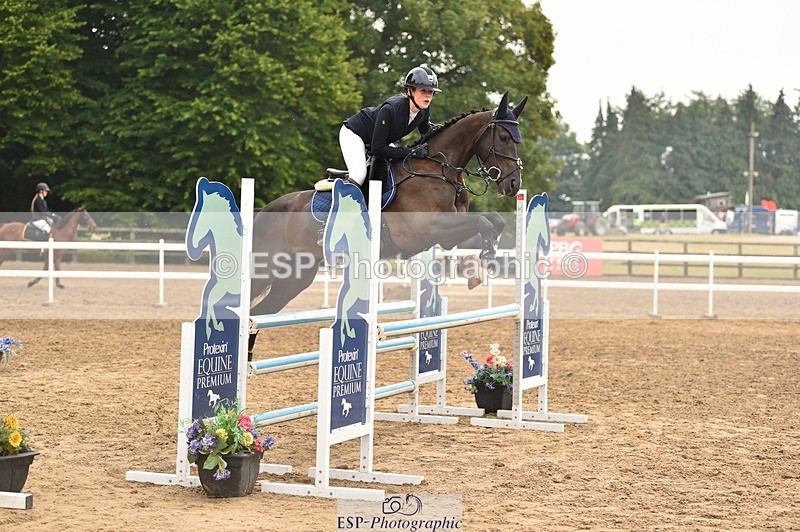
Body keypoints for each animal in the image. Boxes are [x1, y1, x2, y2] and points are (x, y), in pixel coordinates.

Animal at [248, 91, 528, 357]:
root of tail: (263, 212)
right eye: (504, 137)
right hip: (266, 268)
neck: (436, 169)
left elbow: (493, 220)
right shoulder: (428, 229)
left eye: (518, 139)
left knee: (260, 313)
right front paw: (484, 261)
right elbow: (483, 221)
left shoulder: (447, 236)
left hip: (295, 277)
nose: (514, 184)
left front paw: (478, 266)